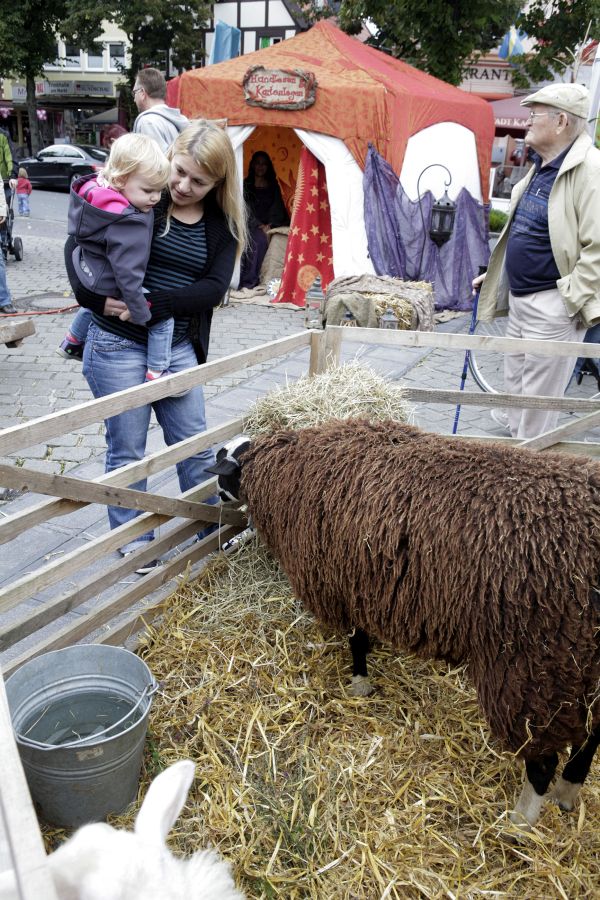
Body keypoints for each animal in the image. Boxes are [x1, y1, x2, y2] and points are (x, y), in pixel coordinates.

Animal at [209, 419, 600, 829]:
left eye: (224, 466)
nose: (216, 497)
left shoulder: (344, 582)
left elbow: (355, 639)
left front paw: (360, 683)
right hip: (581, 670)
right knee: (591, 737)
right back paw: (567, 793)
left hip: (537, 669)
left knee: (543, 760)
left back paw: (520, 823)